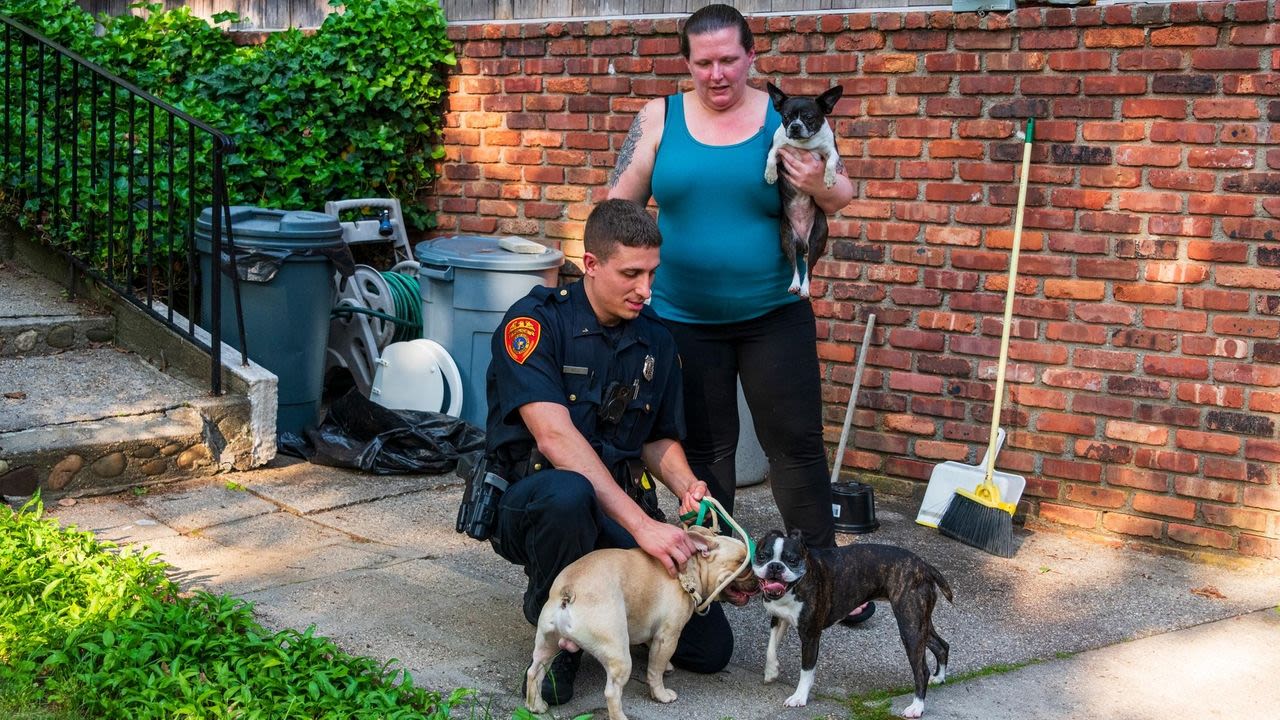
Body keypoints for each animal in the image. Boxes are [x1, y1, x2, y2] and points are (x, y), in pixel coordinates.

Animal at [747, 525, 952, 712]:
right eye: (762, 556)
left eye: (792, 560)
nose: (775, 566)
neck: (794, 586)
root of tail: (924, 566)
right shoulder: (778, 619)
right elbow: (770, 647)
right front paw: (771, 671)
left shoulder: (810, 635)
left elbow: (806, 669)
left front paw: (799, 697)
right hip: (919, 623)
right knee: (941, 645)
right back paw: (939, 678)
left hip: (910, 626)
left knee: (921, 670)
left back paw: (917, 707)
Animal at [762, 82, 844, 298]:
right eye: (786, 117)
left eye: (809, 117)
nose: (795, 126)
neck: (805, 144)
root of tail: (801, 242)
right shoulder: (777, 146)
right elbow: (771, 157)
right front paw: (770, 174)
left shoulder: (831, 150)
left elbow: (831, 162)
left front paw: (830, 177)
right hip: (786, 240)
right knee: (795, 267)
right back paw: (794, 285)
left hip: (816, 240)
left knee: (810, 269)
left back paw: (805, 288)